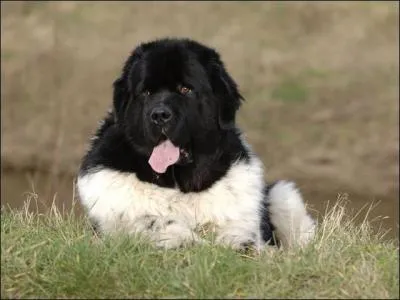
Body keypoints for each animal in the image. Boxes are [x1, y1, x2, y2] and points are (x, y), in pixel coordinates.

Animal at [76, 36, 316, 250]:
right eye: (146, 92)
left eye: (185, 89)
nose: (160, 115)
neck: (180, 182)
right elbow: (156, 223)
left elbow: (239, 235)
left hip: (283, 194)